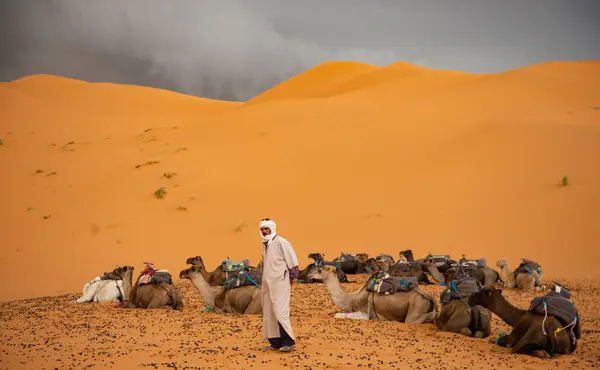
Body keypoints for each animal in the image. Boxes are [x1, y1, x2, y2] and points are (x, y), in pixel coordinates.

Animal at [308, 266, 438, 324]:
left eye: (320, 270)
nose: (309, 274)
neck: (349, 298)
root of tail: (427, 295)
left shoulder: (364, 313)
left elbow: (338, 315)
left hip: (416, 306)